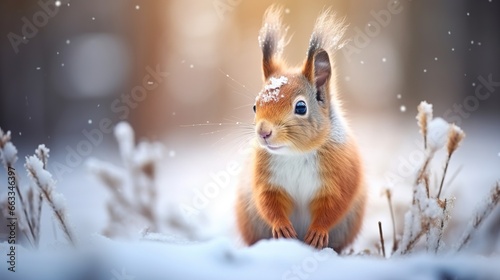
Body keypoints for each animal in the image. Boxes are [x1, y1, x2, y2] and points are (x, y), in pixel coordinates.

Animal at [236, 6, 366, 252]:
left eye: (301, 107)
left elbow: (334, 205)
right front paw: (282, 228)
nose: (263, 133)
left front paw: (317, 232)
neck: (295, 153)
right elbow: (268, 201)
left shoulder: (341, 175)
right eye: (255, 106)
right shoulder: (267, 179)